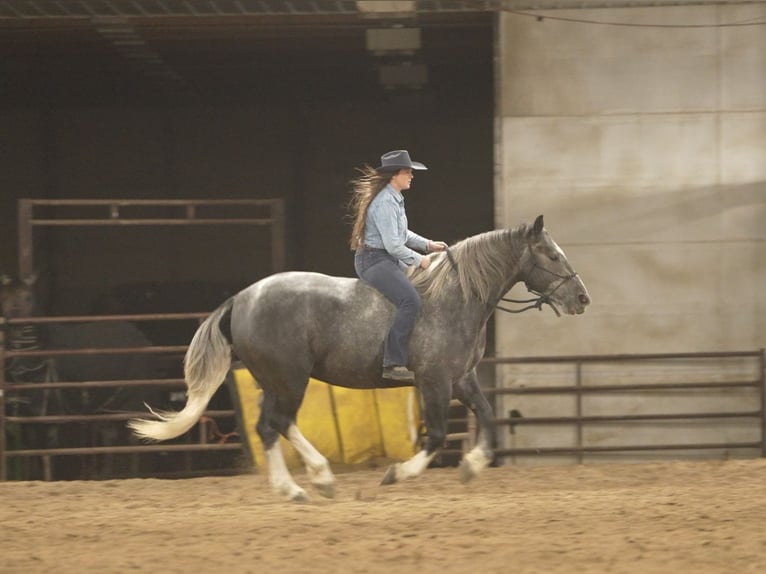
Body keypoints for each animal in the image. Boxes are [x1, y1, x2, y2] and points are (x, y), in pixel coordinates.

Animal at [129, 215, 591, 500]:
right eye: (552, 255)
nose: (582, 298)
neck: (456, 297)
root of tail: (242, 298)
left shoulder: (463, 379)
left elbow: (490, 421)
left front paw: (472, 467)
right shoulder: (435, 381)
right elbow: (438, 436)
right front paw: (397, 473)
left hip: (274, 381)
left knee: (269, 427)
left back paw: (300, 487)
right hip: (289, 379)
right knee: (277, 423)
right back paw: (315, 480)